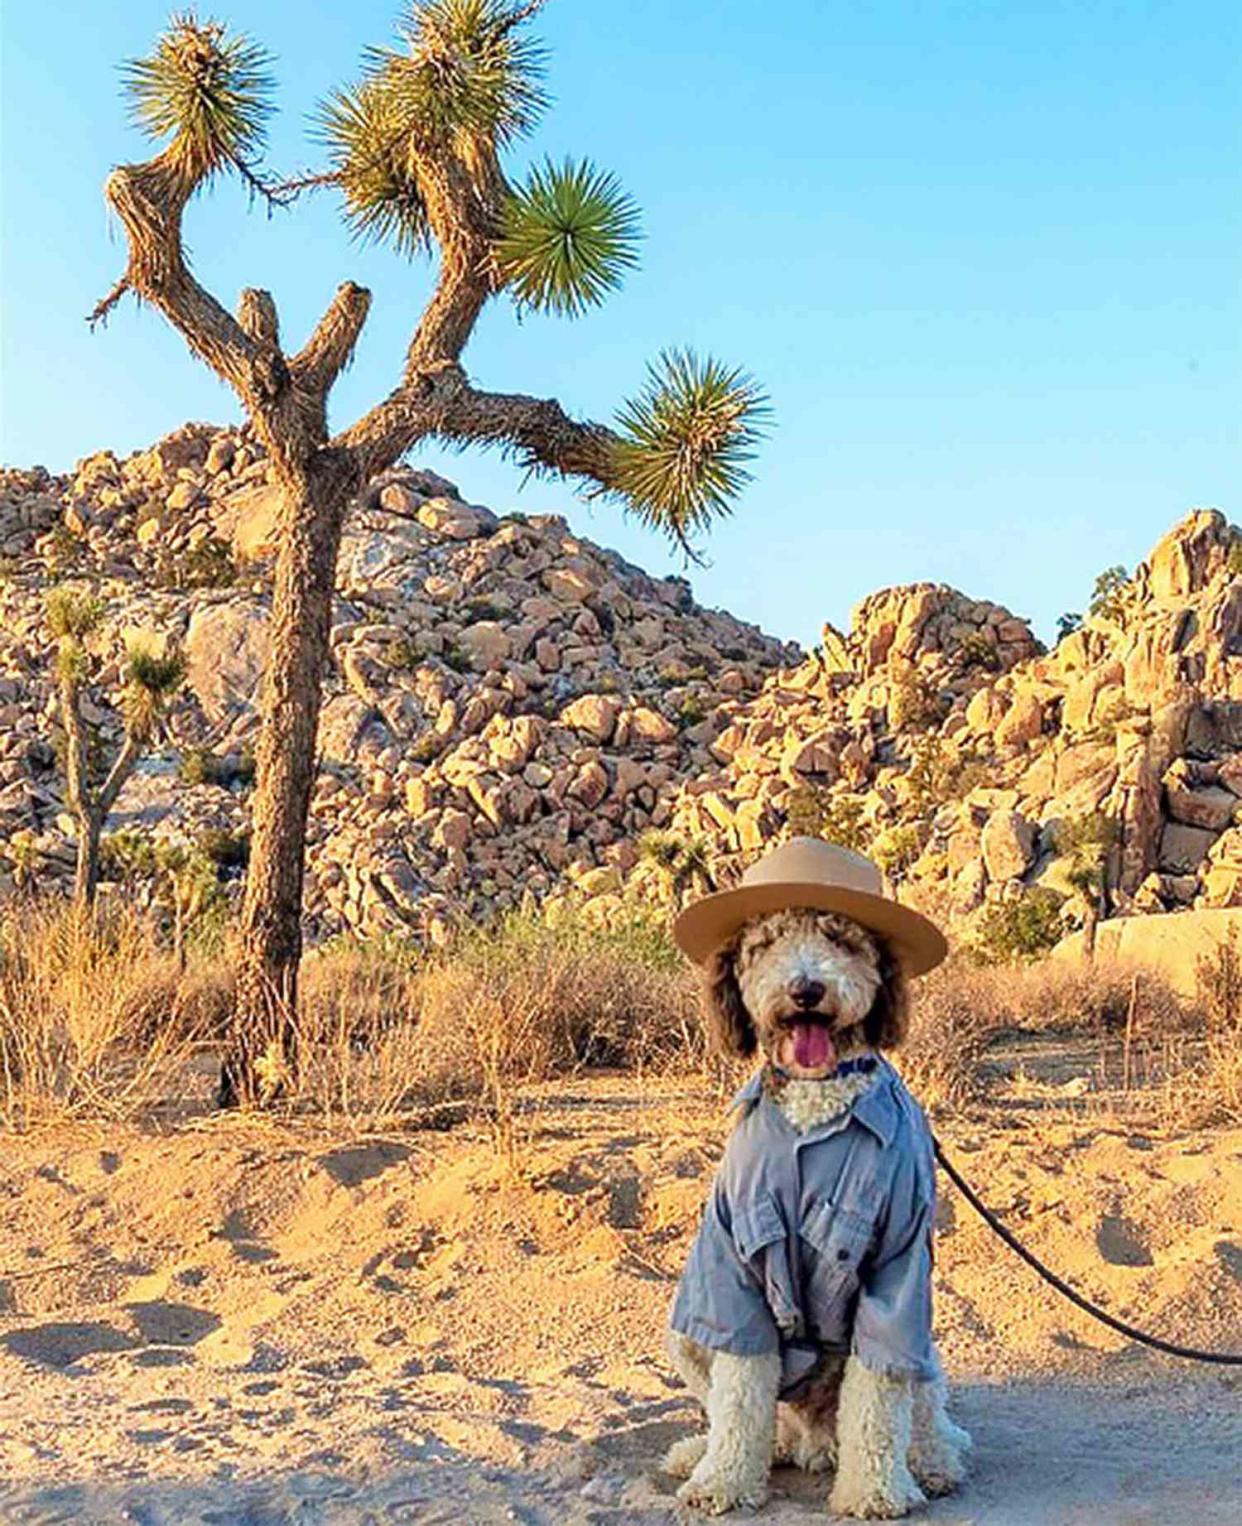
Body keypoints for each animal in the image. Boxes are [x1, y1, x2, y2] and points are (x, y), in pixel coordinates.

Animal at [665, 842, 976, 1519]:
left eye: (842, 938)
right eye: (767, 943)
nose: (806, 989)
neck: (818, 1098)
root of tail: (812, 1441)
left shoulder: (897, 1264)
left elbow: (878, 1396)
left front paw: (875, 1492)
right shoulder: (734, 1261)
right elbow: (739, 1394)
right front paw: (722, 1480)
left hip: (925, 1347)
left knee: (922, 1407)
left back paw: (935, 1461)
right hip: (688, 1336)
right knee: (749, 1413)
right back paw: (703, 1454)